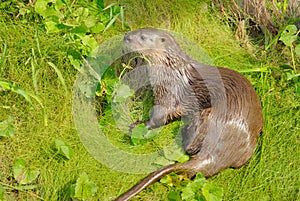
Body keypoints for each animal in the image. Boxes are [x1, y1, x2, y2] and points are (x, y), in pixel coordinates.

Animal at [115, 27, 262, 201]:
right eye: (135, 30)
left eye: (143, 37)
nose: (126, 37)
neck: (171, 69)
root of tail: (215, 154)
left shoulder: (169, 91)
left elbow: (161, 115)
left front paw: (140, 126)